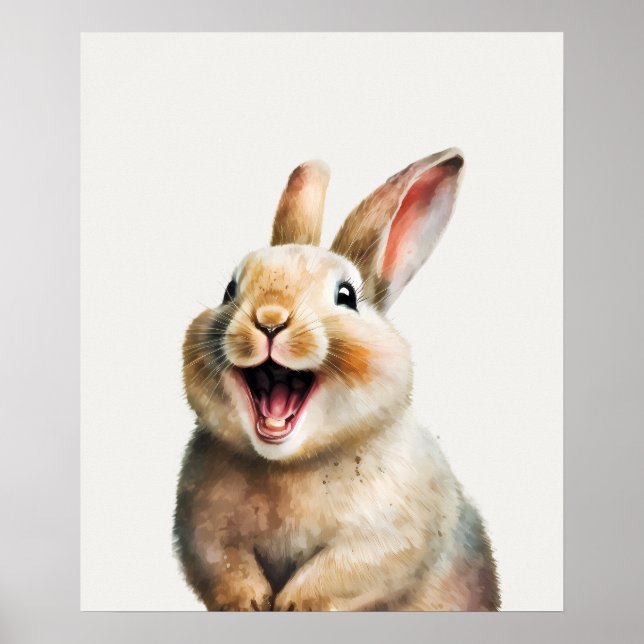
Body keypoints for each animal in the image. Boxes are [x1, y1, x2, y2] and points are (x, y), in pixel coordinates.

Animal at [173, 148, 500, 611]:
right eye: (229, 291)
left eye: (346, 296)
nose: (269, 319)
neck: (289, 464)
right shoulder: (204, 533)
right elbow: (224, 564)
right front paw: (252, 602)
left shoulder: (384, 540)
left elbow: (339, 572)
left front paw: (291, 605)